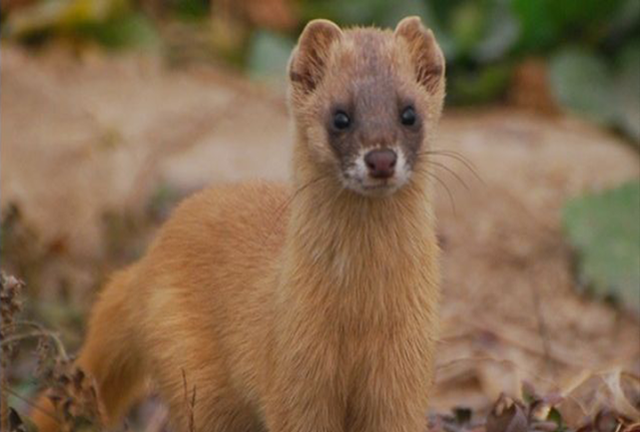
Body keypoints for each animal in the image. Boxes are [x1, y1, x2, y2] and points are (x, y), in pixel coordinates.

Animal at [33, 16, 444, 432]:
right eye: (340, 116)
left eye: (409, 113)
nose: (381, 159)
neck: (361, 319)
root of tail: (146, 263)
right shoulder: (293, 370)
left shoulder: (403, 376)